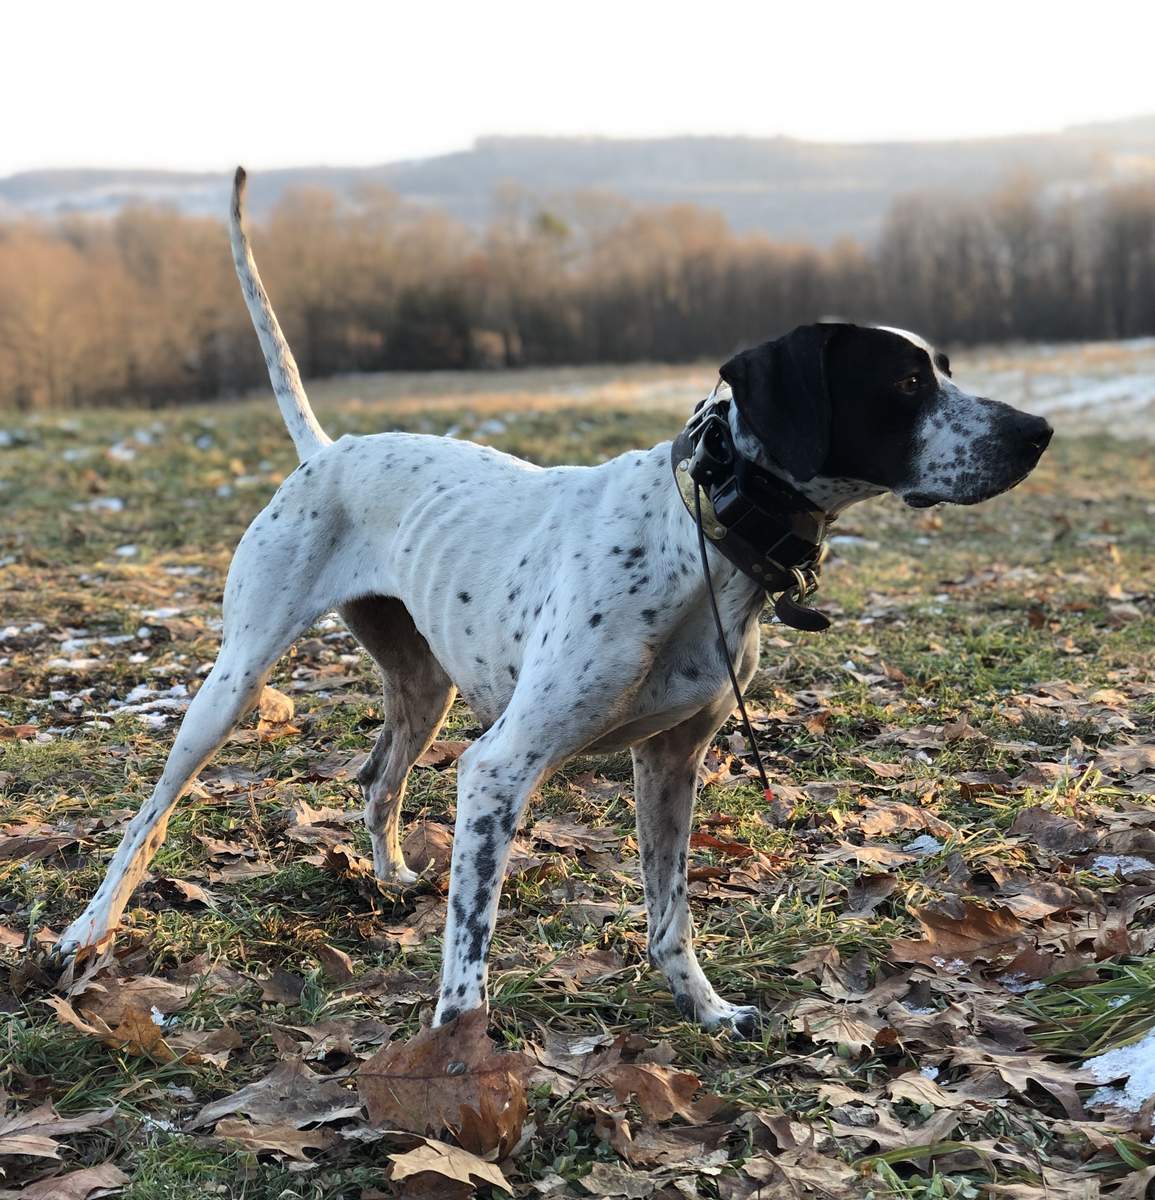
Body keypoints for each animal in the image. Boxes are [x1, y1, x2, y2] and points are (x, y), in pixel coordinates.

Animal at [49, 164, 1046, 1036]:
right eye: (905, 384)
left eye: (944, 369)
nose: (1035, 432)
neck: (702, 534)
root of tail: (325, 451)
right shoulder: (497, 768)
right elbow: (469, 956)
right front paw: (456, 1065)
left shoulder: (671, 763)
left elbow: (670, 917)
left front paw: (705, 1010)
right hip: (232, 687)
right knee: (147, 821)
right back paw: (86, 933)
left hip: (422, 687)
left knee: (376, 781)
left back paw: (391, 878)